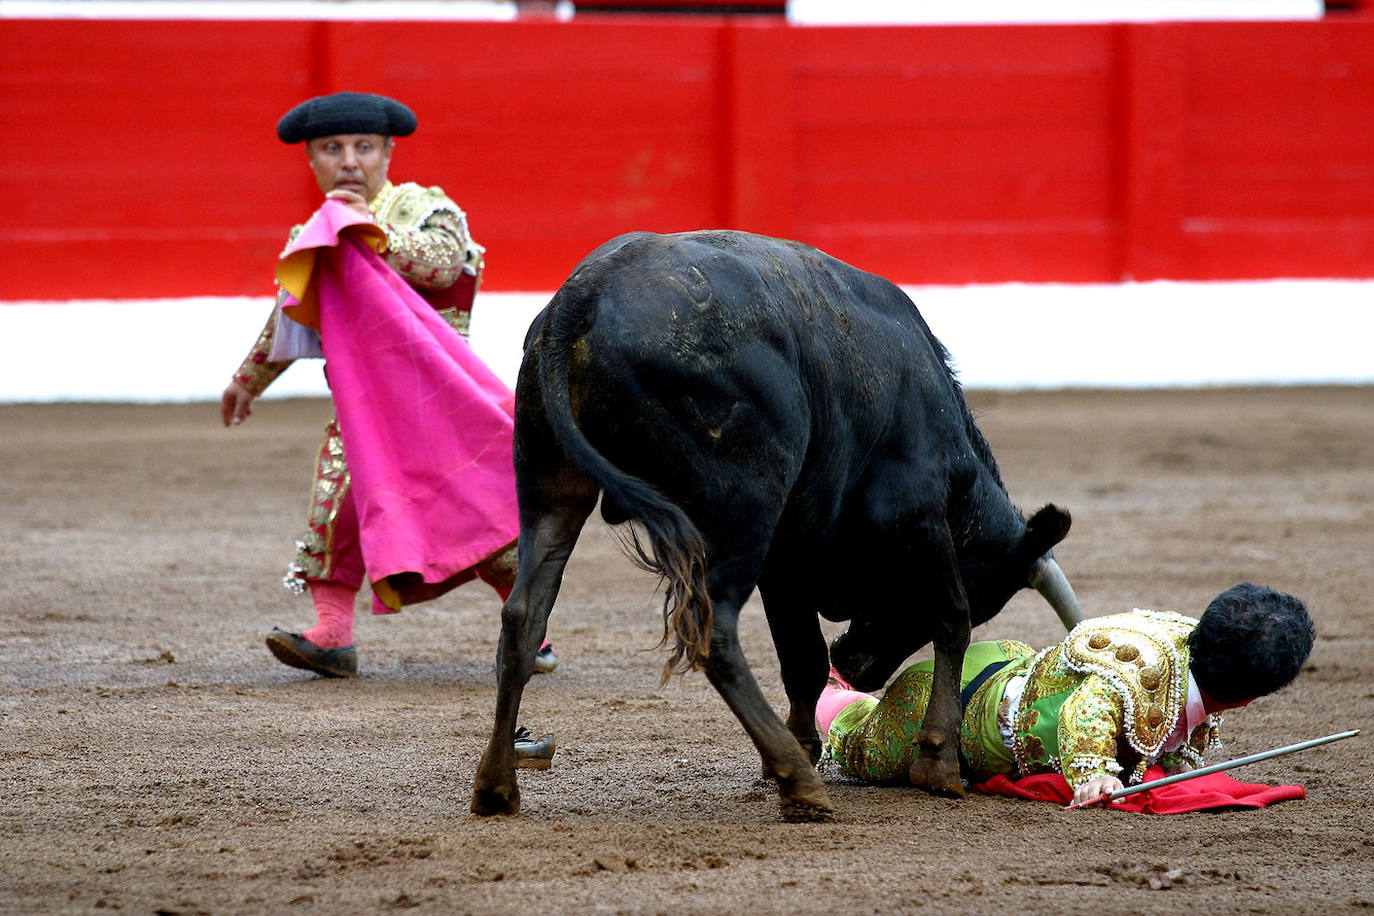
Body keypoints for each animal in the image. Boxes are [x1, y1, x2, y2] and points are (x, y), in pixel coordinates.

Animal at [472, 230, 1082, 823]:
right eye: (986, 597)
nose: (857, 667)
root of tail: (581, 297)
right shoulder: (916, 517)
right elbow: (949, 619)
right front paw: (936, 760)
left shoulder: (787, 559)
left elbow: (803, 658)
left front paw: (804, 743)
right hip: (740, 510)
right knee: (714, 633)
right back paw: (800, 786)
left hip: (552, 485)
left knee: (523, 618)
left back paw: (496, 787)